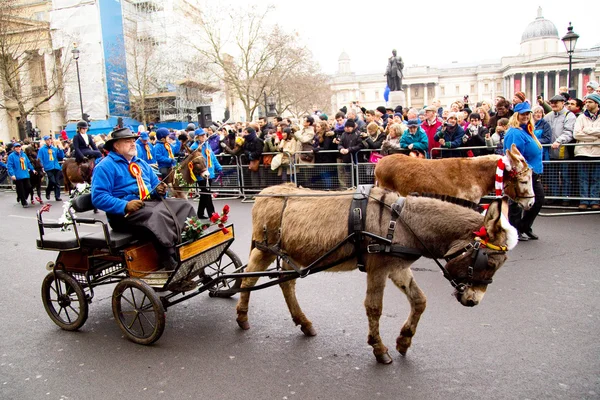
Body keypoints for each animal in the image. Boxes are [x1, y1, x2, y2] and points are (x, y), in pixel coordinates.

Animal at [237, 184, 516, 362]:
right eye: (489, 263)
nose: (474, 301)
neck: (402, 222)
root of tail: (264, 193)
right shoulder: (378, 268)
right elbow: (374, 308)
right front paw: (379, 349)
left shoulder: (397, 267)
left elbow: (419, 300)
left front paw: (404, 341)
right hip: (265, 250)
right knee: (248, 279)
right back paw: (242, 317)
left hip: (290, 254)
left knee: (286, 283)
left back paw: (304, 323)